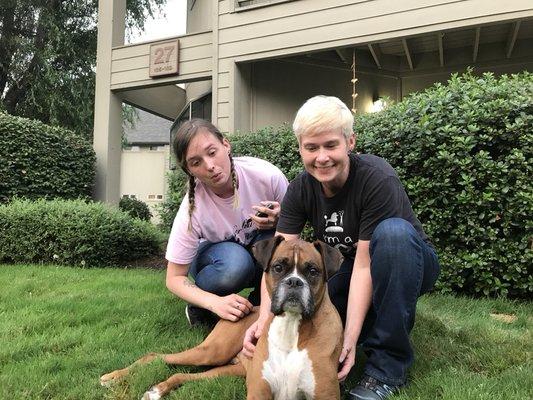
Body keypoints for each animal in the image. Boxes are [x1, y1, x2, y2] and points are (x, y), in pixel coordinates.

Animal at [99, 236, 340, 398]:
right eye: (278, 267)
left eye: (313, 271)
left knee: (181, 375)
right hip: (212, 351)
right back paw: (112, 377)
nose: (294, 282)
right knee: (153, 356)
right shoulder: (259, 392)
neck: (291, 327)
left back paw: (157, 389)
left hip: (230, 369)